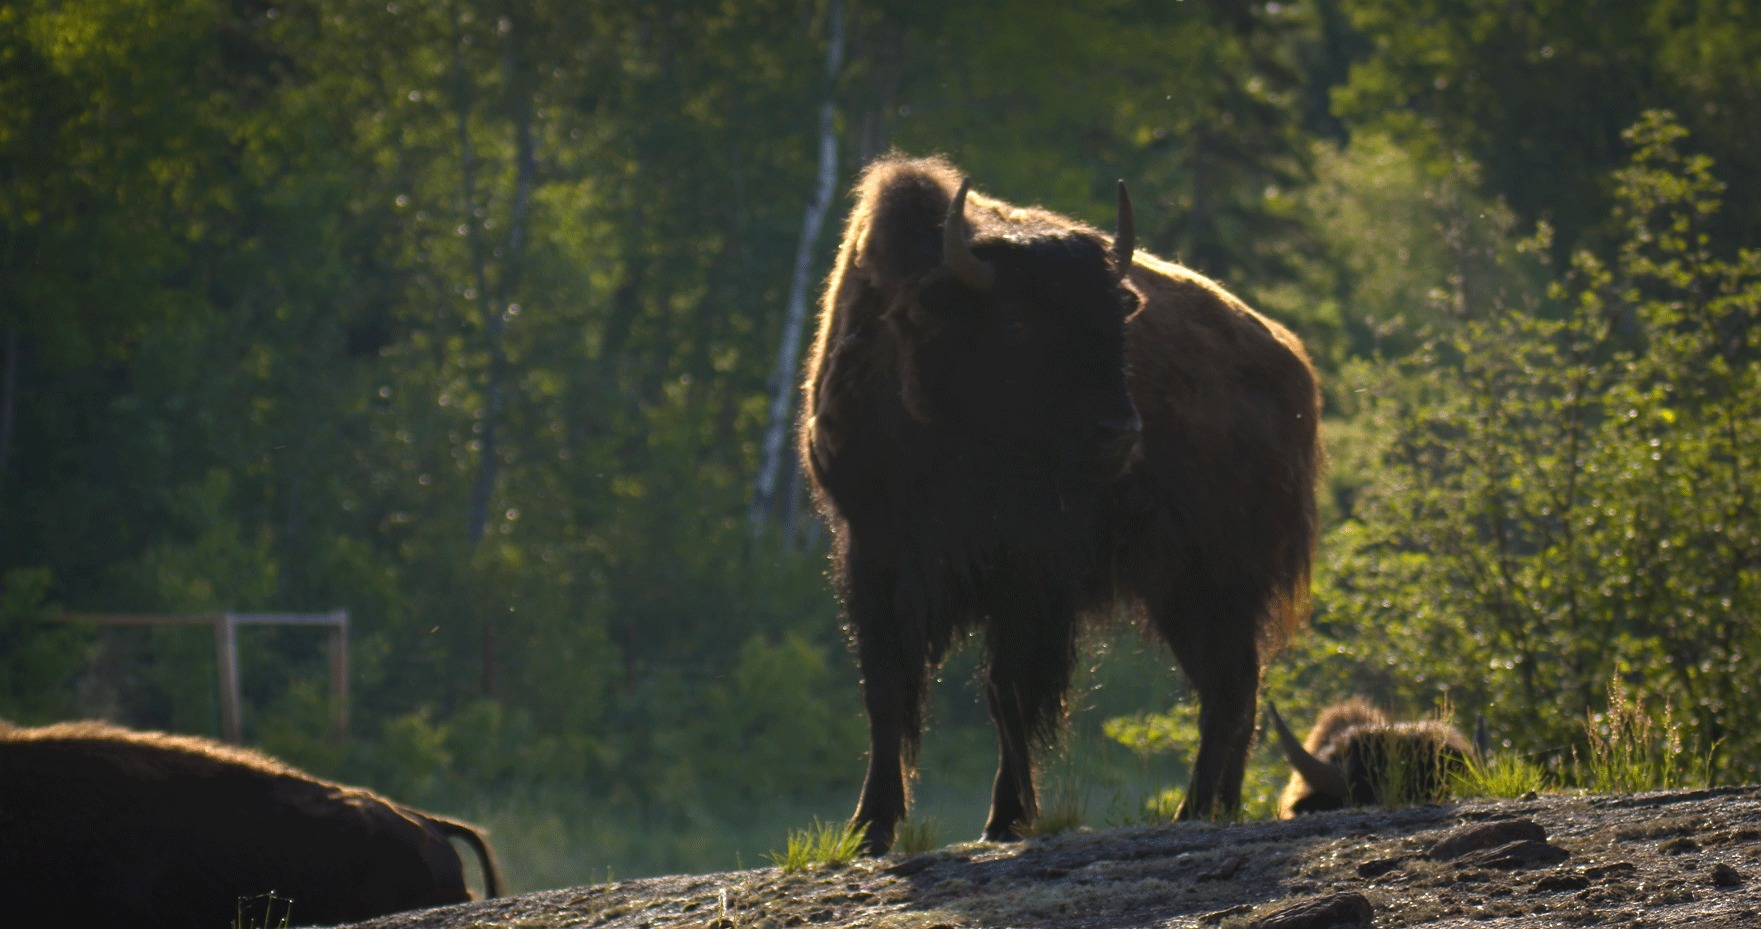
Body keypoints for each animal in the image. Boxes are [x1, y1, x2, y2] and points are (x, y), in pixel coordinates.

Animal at [799, 155, 1321, 852]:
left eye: (1116, 323)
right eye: (1018, 321)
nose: (1120, 432)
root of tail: (1291, 364)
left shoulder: (1031, 578)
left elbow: (1008, 693)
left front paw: (1006, 818)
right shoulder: (876, 554)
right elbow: (887, 691)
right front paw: (870, 826)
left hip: (1208, 580)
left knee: (1230, 686)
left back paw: (1193, 811)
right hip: (1185, 591)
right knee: (1233, 683)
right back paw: (1215, 807)